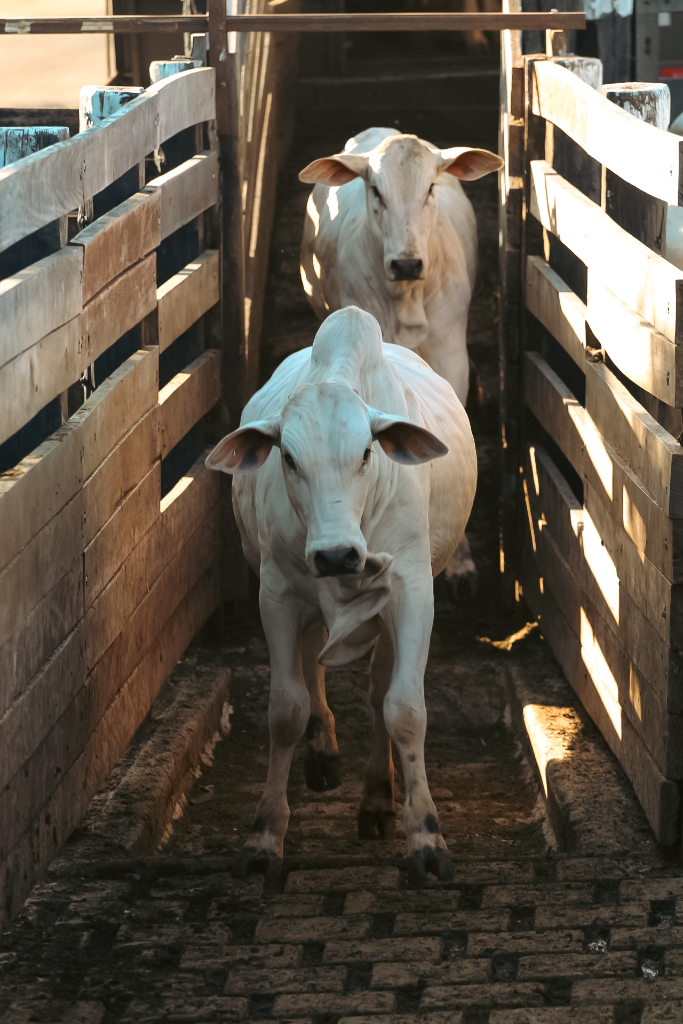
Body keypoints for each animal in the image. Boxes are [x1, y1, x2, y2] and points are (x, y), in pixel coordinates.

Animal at [208, 307, 475, 884]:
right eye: (287, 457)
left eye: (367, 452)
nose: (335, 556)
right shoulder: (277, 595)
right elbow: (285, 710)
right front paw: (265, 836)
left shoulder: (412, 593)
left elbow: (404, 709)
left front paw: (425, 837)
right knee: (313, 666)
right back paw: (322, 753)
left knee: (377, 692)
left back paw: (376, 799)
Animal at [296, 126, 501, 598]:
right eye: (376, 189)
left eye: (430, 188)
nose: (407, 263)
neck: (408, 298)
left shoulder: (450, 354)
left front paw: (461, 561)